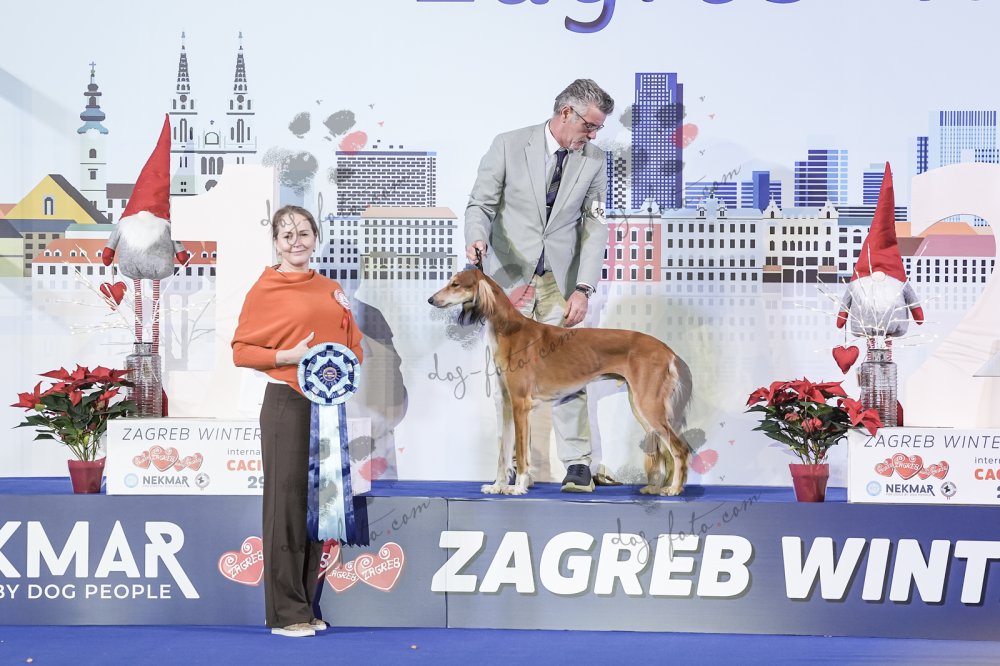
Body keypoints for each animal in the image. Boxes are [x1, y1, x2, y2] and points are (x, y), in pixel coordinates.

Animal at [428, 269, 693, 497]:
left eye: (455, 284)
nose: (431, 299)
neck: (509, 329)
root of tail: (667, 349)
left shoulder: (520, 404)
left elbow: (521, 453)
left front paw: (518, 487)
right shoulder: (505, 403)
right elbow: (504, 452)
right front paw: (497, 486)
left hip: (647, 404)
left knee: (679, 448)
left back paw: (674, 489)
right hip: (641, 407)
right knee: (664, 450)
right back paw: (656, 488)